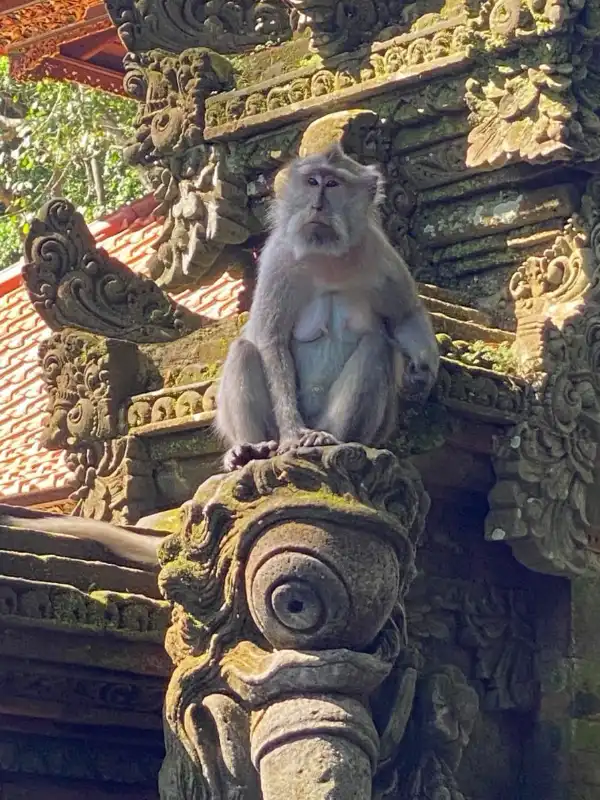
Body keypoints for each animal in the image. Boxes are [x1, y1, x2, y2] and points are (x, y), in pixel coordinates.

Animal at [215, 143, 439, 471]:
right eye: (312, 182)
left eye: (333, 184)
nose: (318, 206)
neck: (327, 255)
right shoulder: (277, 260)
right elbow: (271, 339)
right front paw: (292, 432)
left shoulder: (380, 252)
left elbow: (404, 315)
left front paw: (424, 371)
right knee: (244, 349)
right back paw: (250, 450)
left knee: (376, 346)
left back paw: (330, 438)